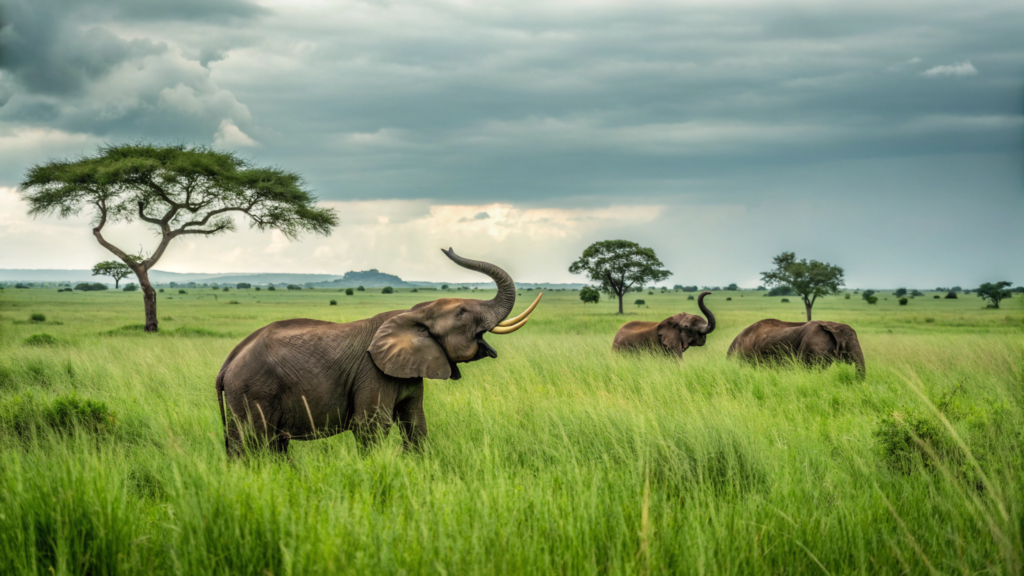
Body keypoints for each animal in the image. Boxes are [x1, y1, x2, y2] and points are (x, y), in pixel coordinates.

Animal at [215, 248, 542, 455]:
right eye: (461, 313)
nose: (447, 247)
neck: (414, 313)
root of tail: (226, 364)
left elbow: (415, 422)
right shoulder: (372, 372)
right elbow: (372, 427)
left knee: (258, 444)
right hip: (253, 391)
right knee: (255, 442)